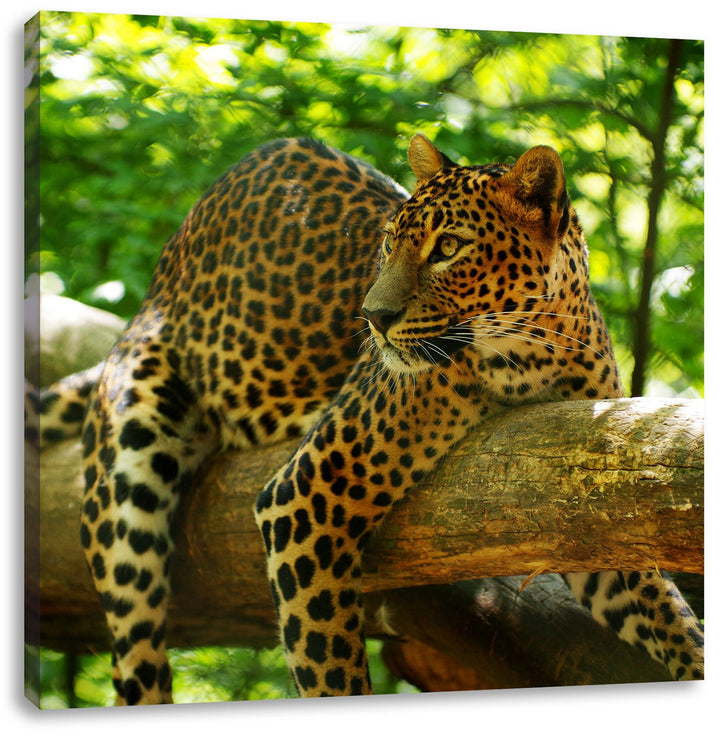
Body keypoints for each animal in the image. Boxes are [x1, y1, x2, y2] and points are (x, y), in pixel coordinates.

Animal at [33, 133, 703, 704]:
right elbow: (329, 668)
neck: (531, 354)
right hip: (129, 481)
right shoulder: (304, 497)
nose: (373, 317)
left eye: (449, 248)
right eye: (389, 241)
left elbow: (665, 607)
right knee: (137, 651)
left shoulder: (584, 509)